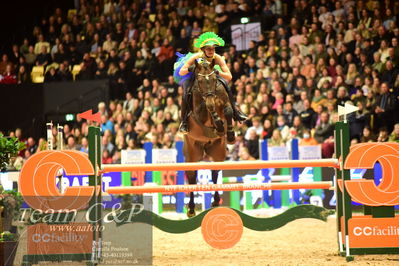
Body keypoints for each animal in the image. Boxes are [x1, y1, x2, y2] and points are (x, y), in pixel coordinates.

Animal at [182, 58, 234, 216]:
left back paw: (216, 202)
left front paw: (228, 132)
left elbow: (228, 110)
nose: (210, 97)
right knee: (192, 178)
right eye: (199, 80)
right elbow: (208, 108)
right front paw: (218, 124)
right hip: (191, 154)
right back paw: (191, 208)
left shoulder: (223, 101)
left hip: (218, 152)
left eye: (213, 79)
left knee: (215, 174)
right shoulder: (199, 112)